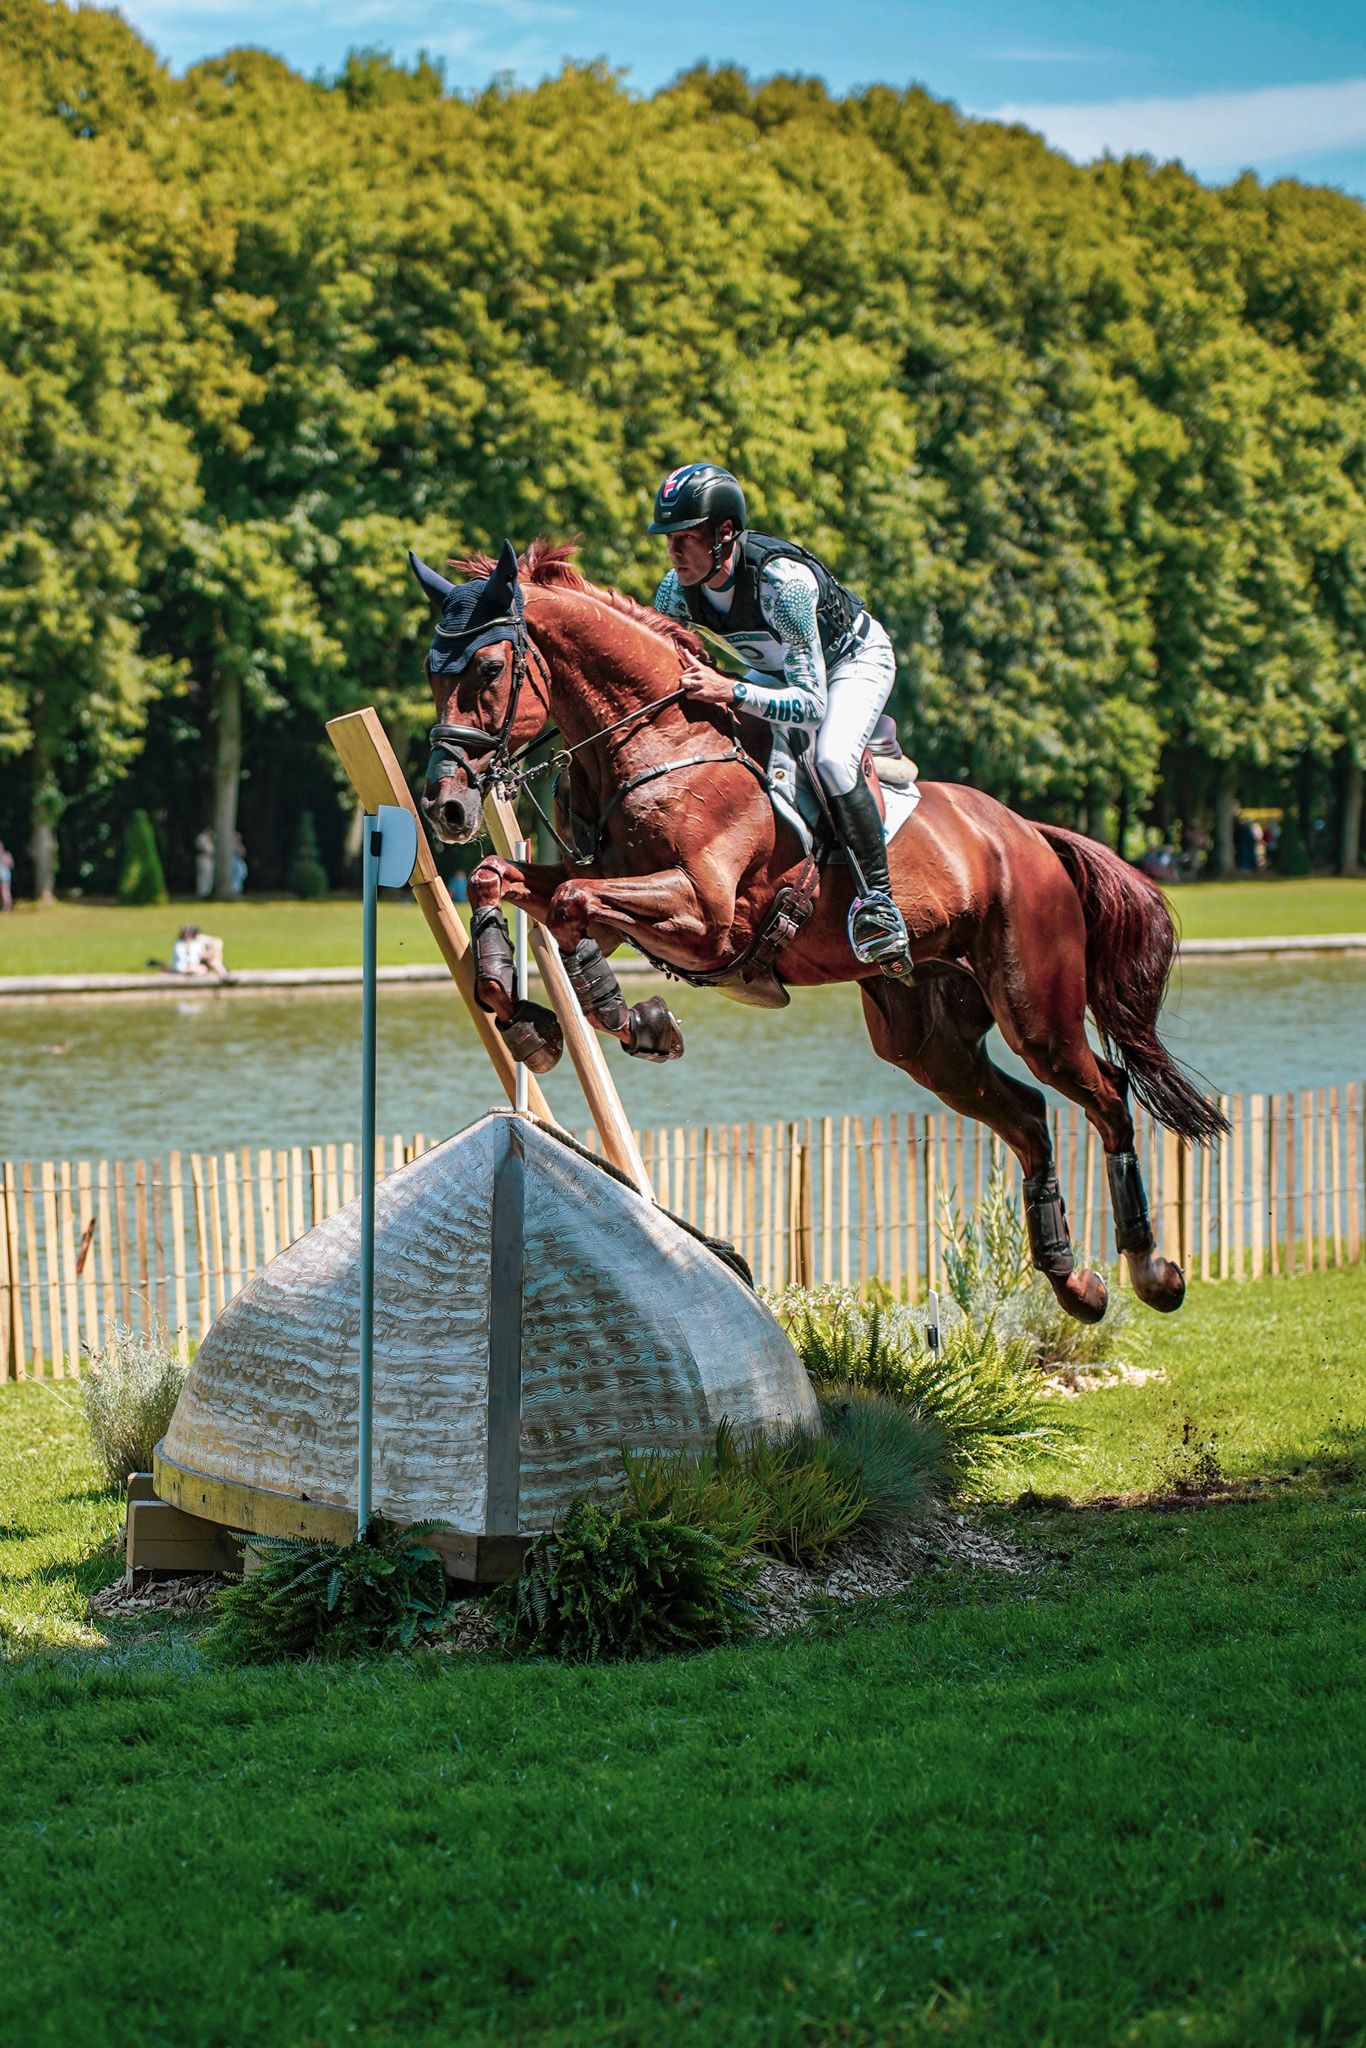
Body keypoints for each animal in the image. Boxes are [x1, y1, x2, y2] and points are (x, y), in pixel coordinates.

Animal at [410, 536, 1226, 1326]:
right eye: (431, 673)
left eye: (488, 667)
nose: (446, 807)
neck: (657, 742)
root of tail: (1029, 836)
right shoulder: (620, 897)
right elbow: (504, 883)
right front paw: (527, 1018)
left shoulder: (708, 918)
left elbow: (576, 905)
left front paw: (637, 1020)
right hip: (926, 1041)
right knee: (1027, 1117)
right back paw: (1074, 1282)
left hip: (1037, 1008)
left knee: (1107, 1094)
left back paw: (1151, 1270)